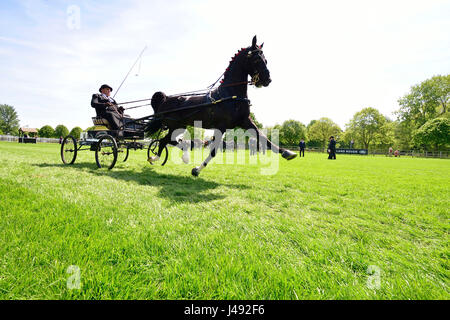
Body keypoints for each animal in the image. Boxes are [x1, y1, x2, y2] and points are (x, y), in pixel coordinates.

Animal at [146, 36, 298, 176]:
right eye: (256, 59)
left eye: (265, 60)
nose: (267, 80)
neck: (231, 95)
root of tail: (165, 99)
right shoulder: (221, 126)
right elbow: (214, 150)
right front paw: (197, 170)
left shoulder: (245, 121)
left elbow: (263, 137)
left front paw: (287, 153)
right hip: (174, 126)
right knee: (165, 141)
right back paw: (163, 157)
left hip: (180, 126)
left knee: (167, 141)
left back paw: (164, 157)